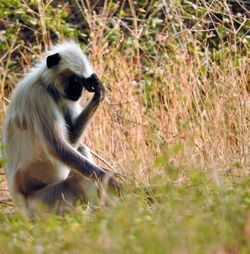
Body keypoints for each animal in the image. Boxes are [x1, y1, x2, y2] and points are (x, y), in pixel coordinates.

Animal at [1, 41, 119, 216]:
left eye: (83, 83)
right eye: (75, 81)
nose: (79, 91)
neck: (47, 85)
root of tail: (21, 207)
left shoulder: (65, 99)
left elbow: (69, 141)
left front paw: (99, 95)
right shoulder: (39, 97)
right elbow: (57, 148)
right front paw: (113, 180)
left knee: (81, 151)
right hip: (42, 202)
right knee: (76, 179)